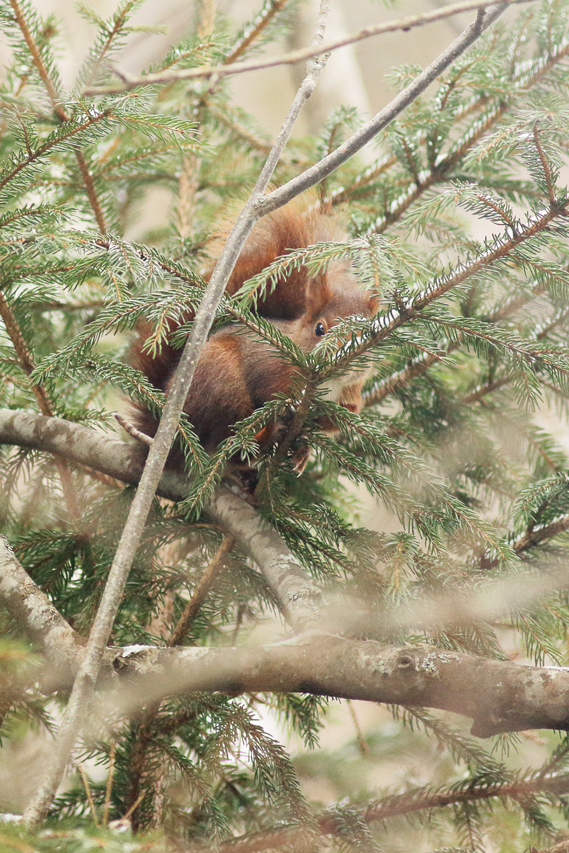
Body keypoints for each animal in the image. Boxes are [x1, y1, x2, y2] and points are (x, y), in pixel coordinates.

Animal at [130, 202, 378, 472]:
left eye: (369, 332)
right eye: (320, 329)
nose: (346, 359)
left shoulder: (350, 394)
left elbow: (342, 417)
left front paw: (313, 430)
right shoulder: (273, 371)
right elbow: (271, 395)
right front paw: (291, 412)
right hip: (220, 381)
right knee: (231, 439)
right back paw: (266, 438)